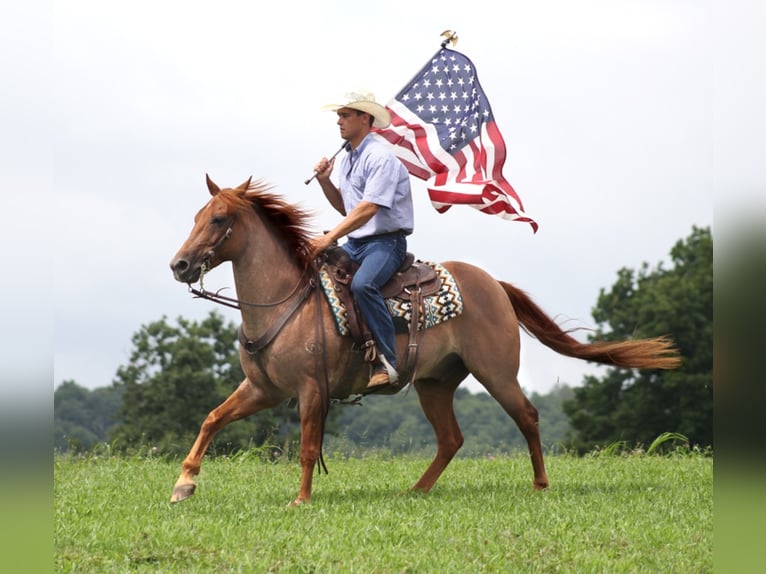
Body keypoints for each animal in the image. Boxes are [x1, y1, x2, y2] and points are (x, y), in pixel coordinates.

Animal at [170, 177, 684, 508]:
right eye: (195, 216)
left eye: (218, 219)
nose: (179, 265)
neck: (284, 300)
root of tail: (494, 284)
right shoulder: (262, 390)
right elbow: (211, 419)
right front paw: (183, 485)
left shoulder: (311, 391)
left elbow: (307, 447)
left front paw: (300, 500)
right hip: (434, 384)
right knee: (451, 438)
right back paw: (417, 490)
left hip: (497, 373)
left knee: (528, 416)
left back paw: (540, 485)